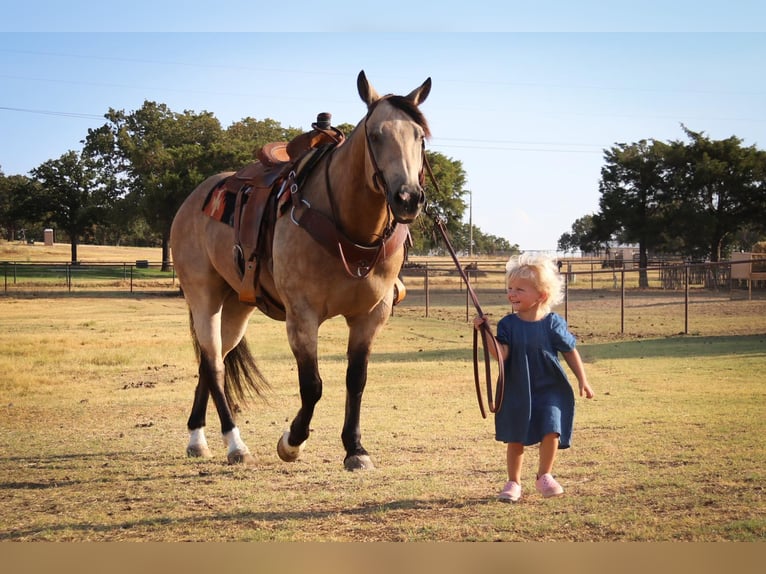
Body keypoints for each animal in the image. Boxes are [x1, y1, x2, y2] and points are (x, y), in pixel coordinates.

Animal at [171, 71, 432, 472]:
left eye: (419, 136)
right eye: (375, 135)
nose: (408, 198)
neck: (349, 227)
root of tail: (192, 200)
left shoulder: (370, 316)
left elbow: (356, 380)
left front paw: (355, 449)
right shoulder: (302, 316)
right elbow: (313, 386)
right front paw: (292, 442)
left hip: (237, 305)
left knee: (209, 362)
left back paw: (197, 439)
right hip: (204, 296)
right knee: (214, 365)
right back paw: (234, 444)